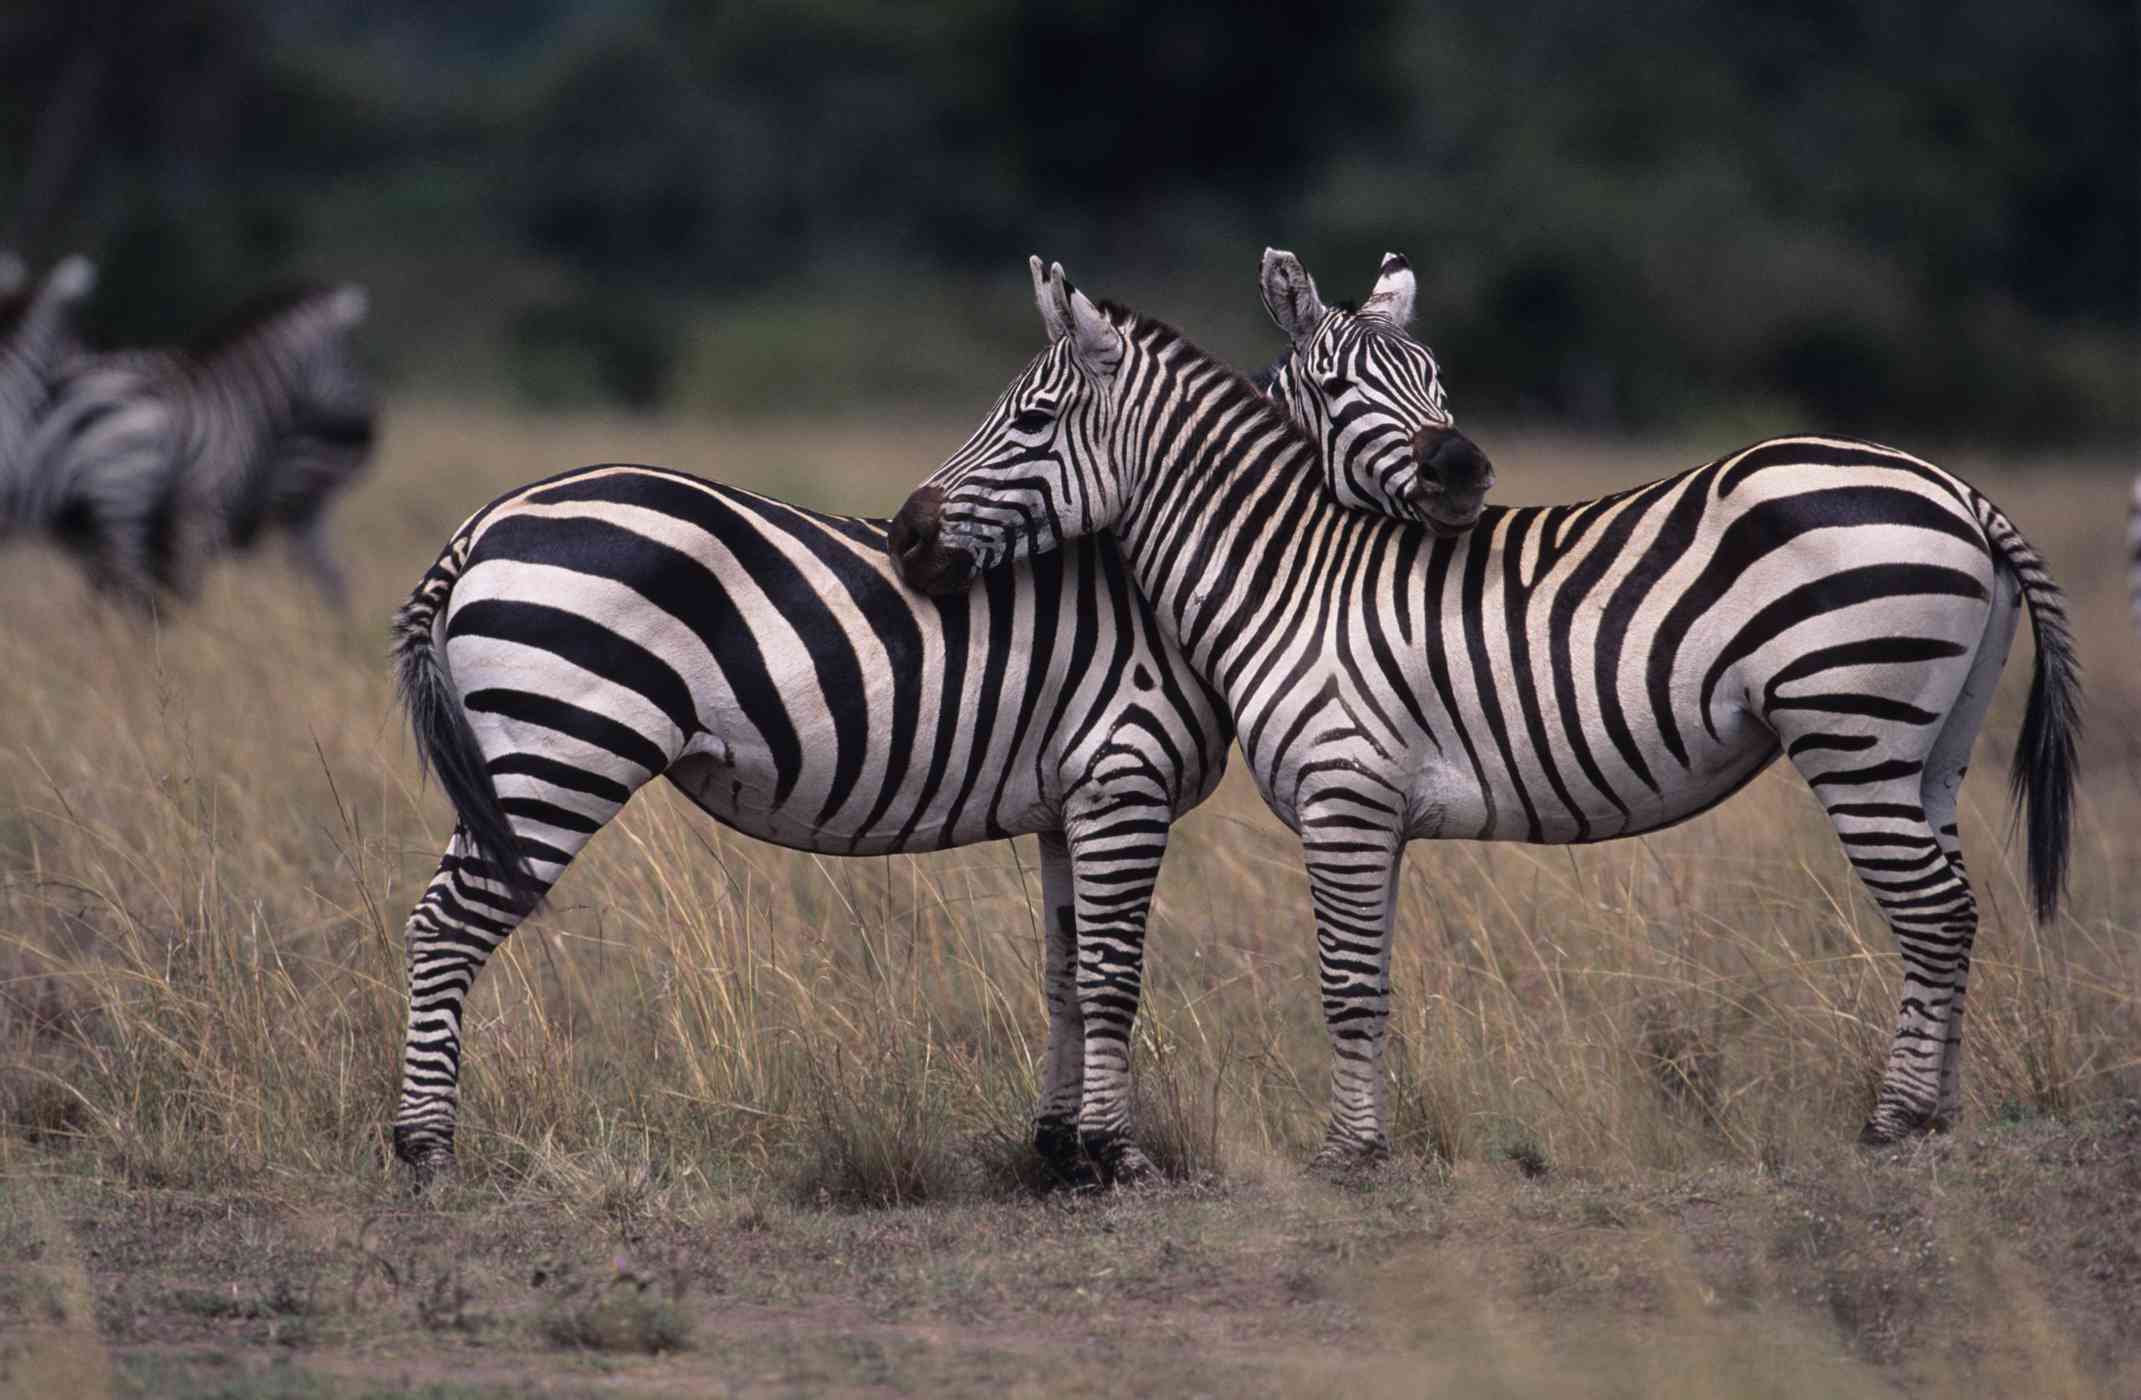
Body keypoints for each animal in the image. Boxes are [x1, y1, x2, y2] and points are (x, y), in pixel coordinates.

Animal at [17, 283, 374, 605]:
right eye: (351, 367)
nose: (367, 436)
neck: (239, 401)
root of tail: (62, 391)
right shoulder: (203, 510)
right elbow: (189, 585)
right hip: (124, 495)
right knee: (125, 579)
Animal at [890, 256, 2080, 1161]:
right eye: (1338, 385)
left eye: (1031, 419)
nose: (904, 535)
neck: (1291, 570)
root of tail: (1953, 487)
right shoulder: (1377, 813)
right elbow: (1372, 979)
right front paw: (1366, 1139)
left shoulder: (1342, 794)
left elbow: (1343, 984)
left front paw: (1345, 1155)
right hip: (1929, 748)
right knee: (1954, 909)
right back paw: (1935, 1111)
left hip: (1852, 726)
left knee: (1933, 913)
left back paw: (1895, 1120)